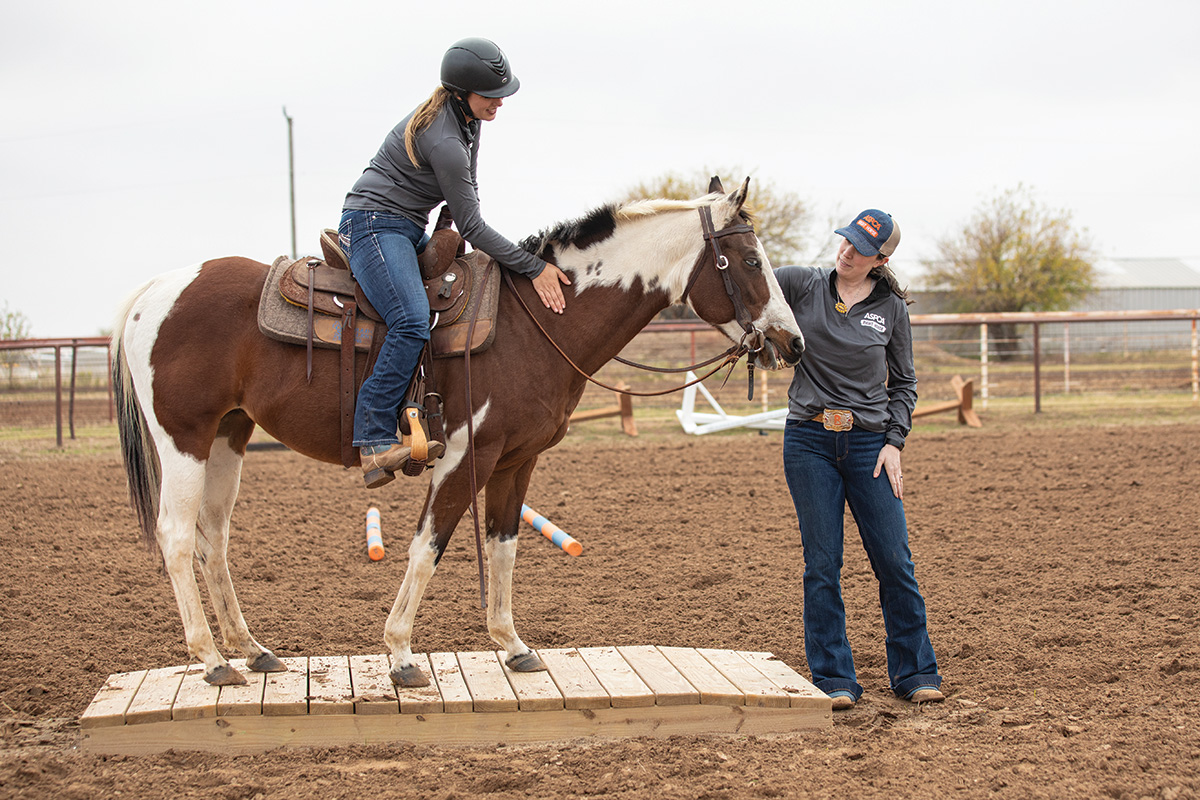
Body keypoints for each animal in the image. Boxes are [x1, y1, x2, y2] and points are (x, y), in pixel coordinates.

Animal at [114, 176, 806, 690]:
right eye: (751, 260)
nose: (792, 342)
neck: (540, 321)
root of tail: (153, 293)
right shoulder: (464, 453)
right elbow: (429, 546)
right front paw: (399, 655)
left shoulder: (517, 460)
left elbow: (502, 547)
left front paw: (513, 645)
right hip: (183, 439)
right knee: (177, 537)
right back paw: (212, 660)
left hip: (227, 438)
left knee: (214, 540)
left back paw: (252, 649)